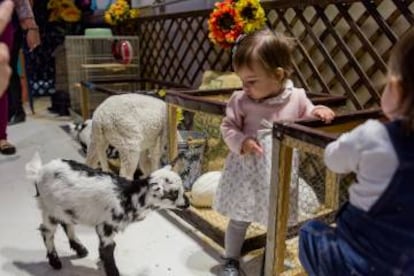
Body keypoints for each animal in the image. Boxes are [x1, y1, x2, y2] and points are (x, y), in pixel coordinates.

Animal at [26, 153, 192, 276]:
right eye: (173, 194)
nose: (188, 203)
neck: (129, 197)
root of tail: (39, 172)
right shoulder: (106, 226)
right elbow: (108, 248)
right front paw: (113, 272)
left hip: (66, 208)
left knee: (67, 224)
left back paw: (80, 249)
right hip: (49, 208)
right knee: (47, 232)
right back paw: (55, 261)